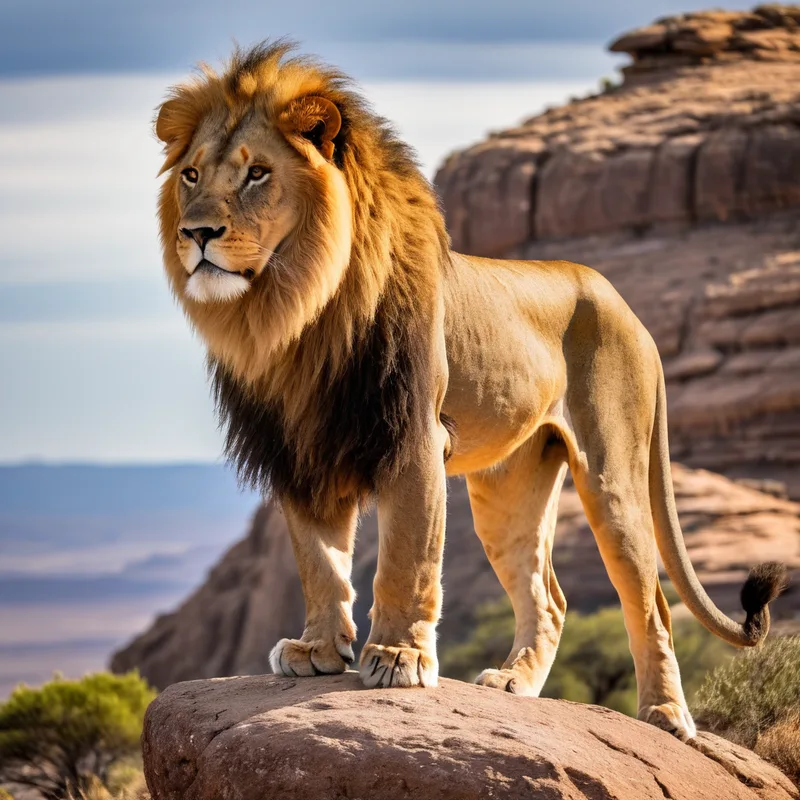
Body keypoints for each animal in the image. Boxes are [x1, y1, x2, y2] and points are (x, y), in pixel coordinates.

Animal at [155, 42, 787, 741]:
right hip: (508, 489)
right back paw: (515, 683)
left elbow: (406, 555)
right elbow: (320, 561)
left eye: (257, 174)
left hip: (613, 477)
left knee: (651, 603)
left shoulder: (413, 436)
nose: (196, 234)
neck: (296, 311)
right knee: (550, 598)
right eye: (191, 175)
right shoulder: (301, 448)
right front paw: (317, 650)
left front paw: (397, 657)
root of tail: (624, 303)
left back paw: (665, 715)